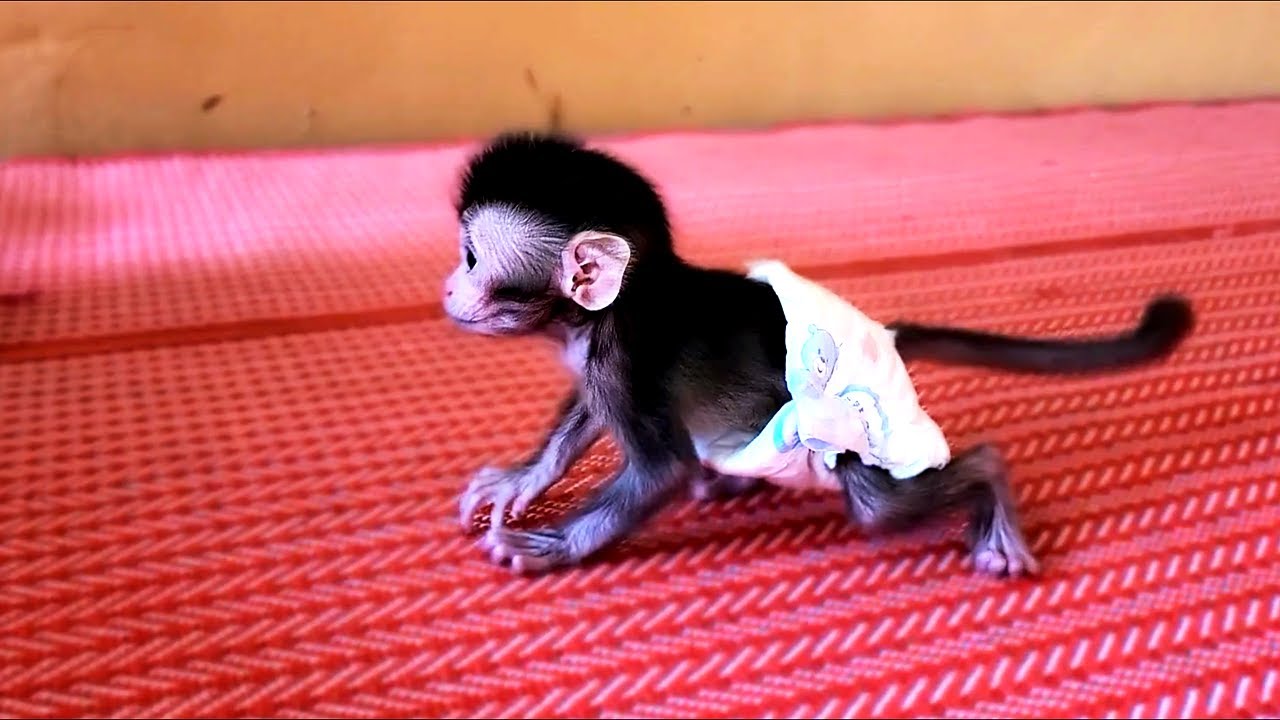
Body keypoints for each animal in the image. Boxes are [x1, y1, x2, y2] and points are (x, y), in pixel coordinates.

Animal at [442, 131, 1194, 578]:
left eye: (473, 259)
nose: (448, 287)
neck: (617, 306)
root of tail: (880, 336)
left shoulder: (621, 361)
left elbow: (661, 473)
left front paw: (551, 546)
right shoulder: (597, 365)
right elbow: (580, 424)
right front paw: (523, 479)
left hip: (858, 432)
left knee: (886, 501)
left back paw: (991, 487)